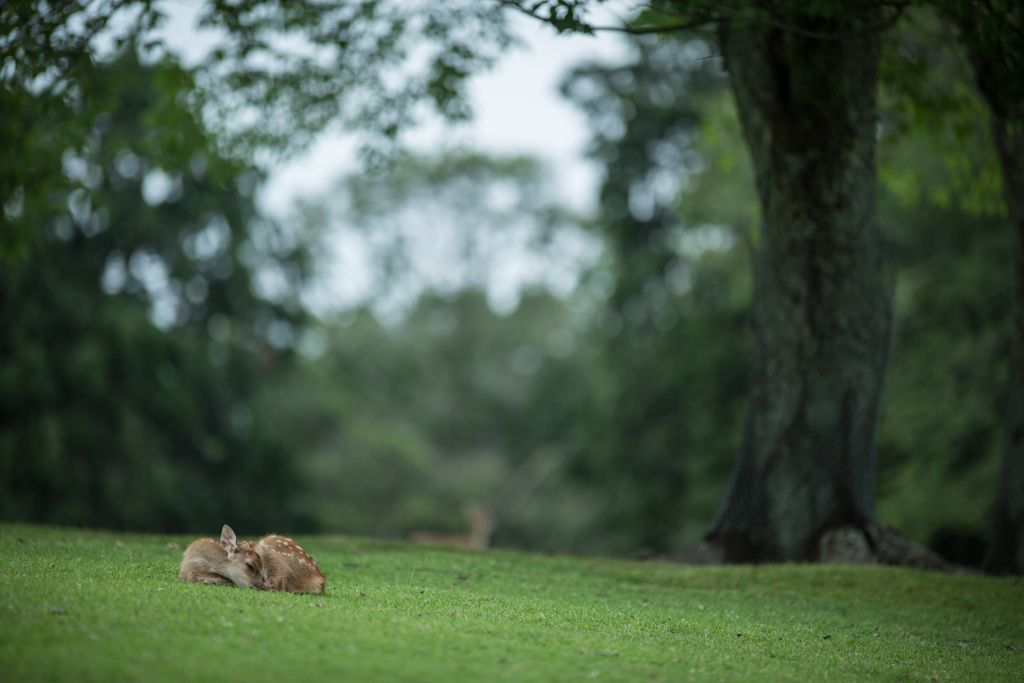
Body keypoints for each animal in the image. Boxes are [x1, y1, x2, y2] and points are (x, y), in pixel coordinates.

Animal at [178, 528, 325, 593]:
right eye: (249, 566)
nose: (260, 584)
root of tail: (319, 579)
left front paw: (213, 581)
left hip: (273, 555)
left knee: (278, 586)